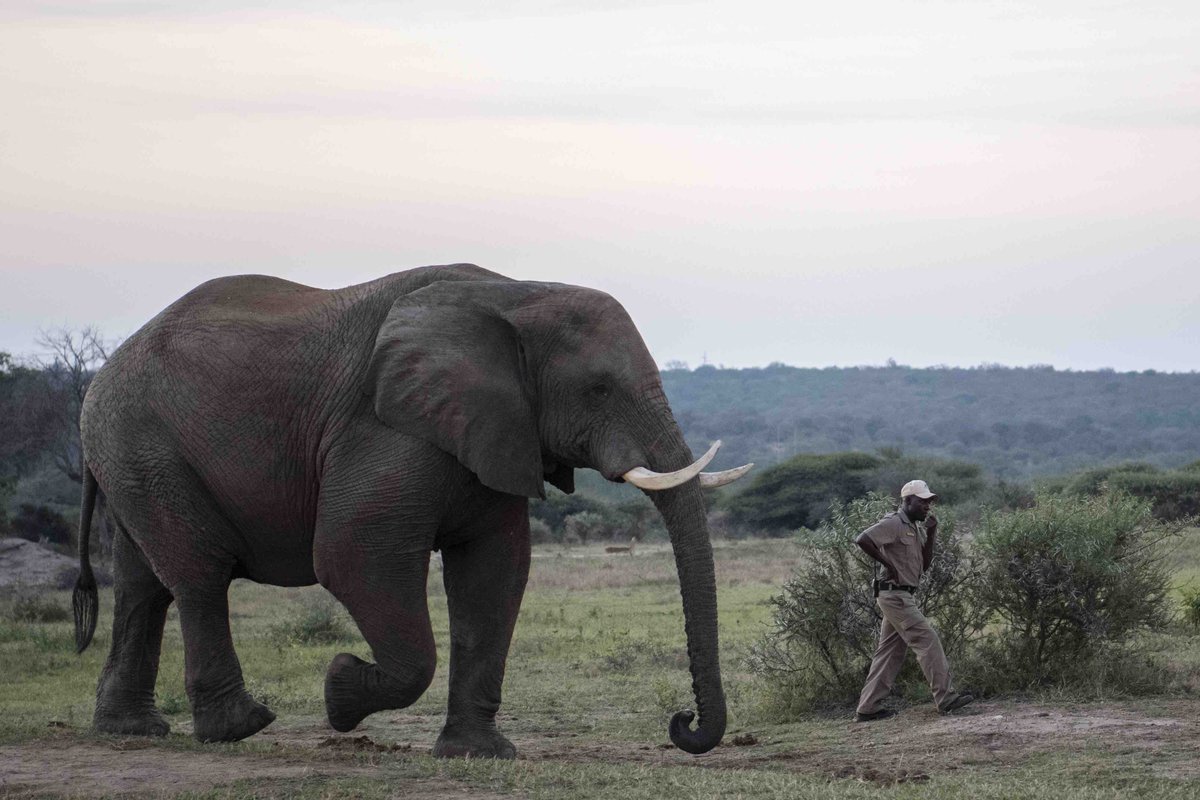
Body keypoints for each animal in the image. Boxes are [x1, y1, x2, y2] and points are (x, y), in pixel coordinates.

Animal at [71, 264, 751, 757]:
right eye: (599, 389)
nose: (682, 722)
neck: (515, 291)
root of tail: (102, 373)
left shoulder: (495, 428)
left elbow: (494, 572)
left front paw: (479, 754)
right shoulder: (383, 429)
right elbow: (353, 556)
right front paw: (340, 687)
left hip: (133, 456)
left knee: (142, 586)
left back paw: (130, 731)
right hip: (145, 444)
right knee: (198, 577)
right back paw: (240, 727)